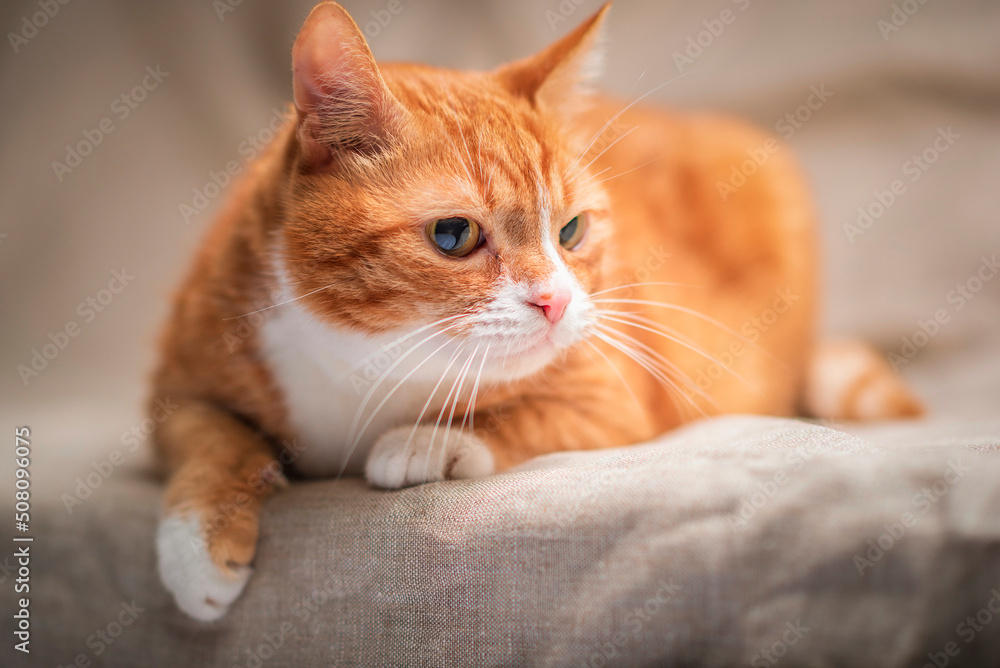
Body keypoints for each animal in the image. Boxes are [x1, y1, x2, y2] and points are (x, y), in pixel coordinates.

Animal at [150, 2, 920, 624]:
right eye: (453, 236)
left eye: (571, 231)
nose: (556, 300)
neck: (364, 362)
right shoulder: (177, 390)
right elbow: (212, 439)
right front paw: (195, 548)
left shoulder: (613, 398)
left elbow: (513, 418)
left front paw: (425, 440)